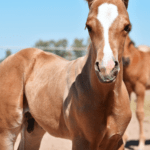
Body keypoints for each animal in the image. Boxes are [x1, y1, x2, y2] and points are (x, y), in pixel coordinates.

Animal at [0, 0, 131, 150]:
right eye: (88, 27)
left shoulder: (116, 141)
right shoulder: (81, 141)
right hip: (7, 132)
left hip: (33, 130)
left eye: (127, 27)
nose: (106, 69)